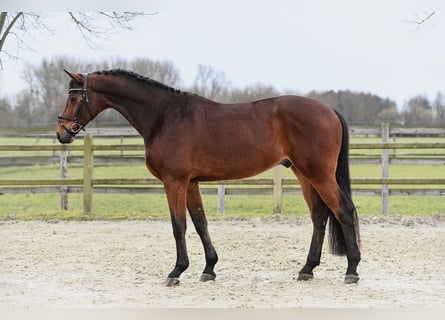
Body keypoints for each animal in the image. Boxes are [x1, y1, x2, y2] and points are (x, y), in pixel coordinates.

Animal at [55, 69, 360, 284]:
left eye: (73, 97)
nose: (61, 133)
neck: (165, 116)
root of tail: (329, 110)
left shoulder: (175, 181)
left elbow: (178, 225)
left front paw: (176, 271)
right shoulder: (191, 183)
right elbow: (200, 223)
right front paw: (209, 268)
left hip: (318, 174)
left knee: (343, 210)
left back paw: (352, 269)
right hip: (303, 173)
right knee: (319, 215)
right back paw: (307, 269)